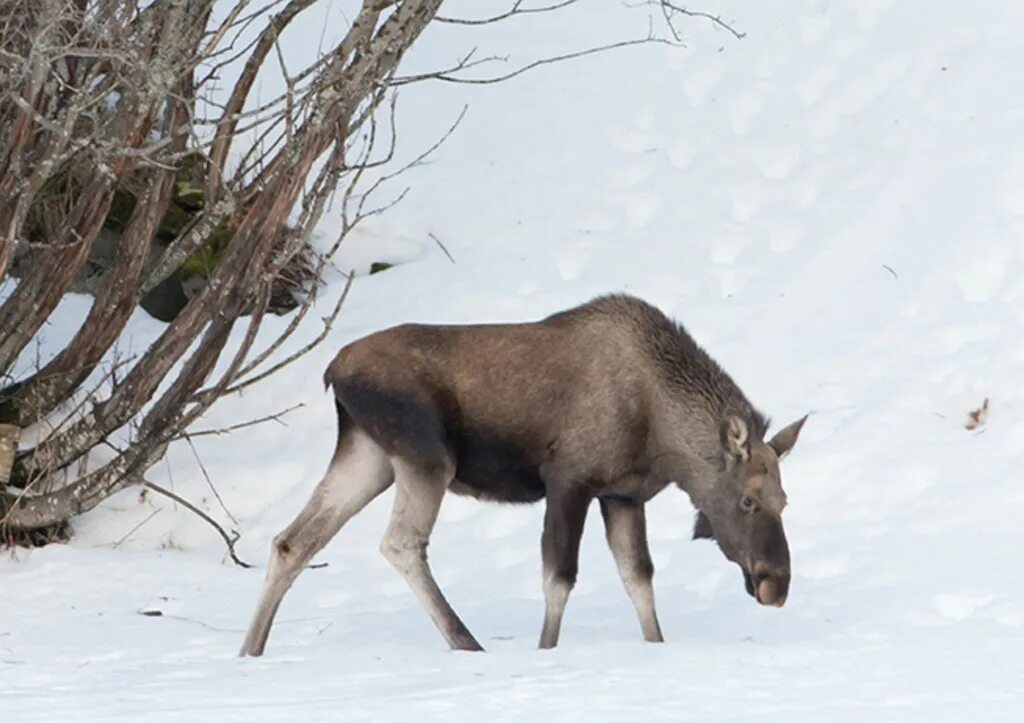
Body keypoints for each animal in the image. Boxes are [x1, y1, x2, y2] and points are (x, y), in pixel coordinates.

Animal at [239, 292, 806, 655]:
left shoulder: (622, 496)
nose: (776, 584)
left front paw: (656, 646)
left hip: (370, 455)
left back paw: (251, 650)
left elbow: (638, 578)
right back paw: (466, 642)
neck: (660, 429)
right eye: (748, 500)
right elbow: (559, 577)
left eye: (786, 501)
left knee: (293, 541)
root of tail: (333, 371)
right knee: (400, 542)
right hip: (426, 456)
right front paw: (545, 651)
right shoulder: (569, 479)